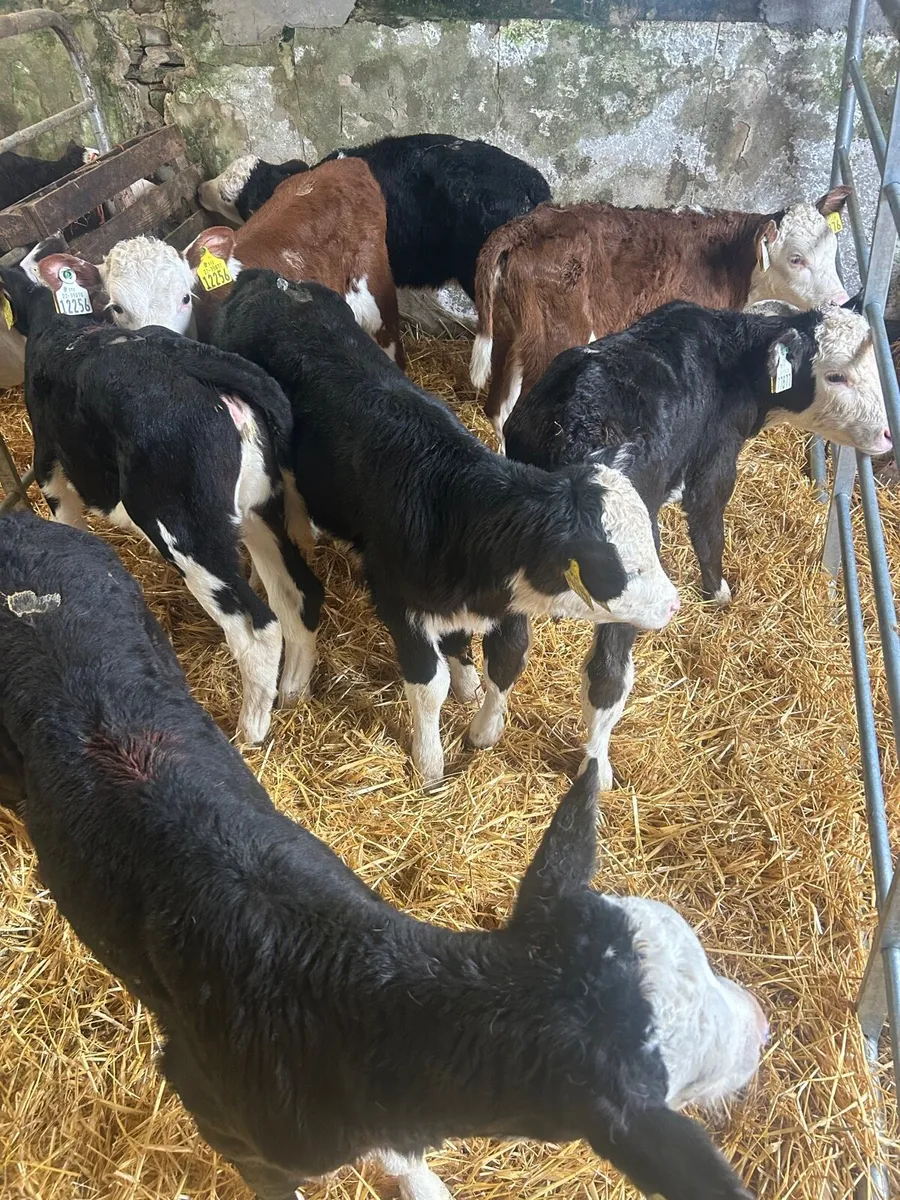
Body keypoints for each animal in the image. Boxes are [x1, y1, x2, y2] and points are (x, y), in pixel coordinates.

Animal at [470, 186, 853, 440]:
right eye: (796, 258)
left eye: (833, 250)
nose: (840, 300)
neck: (732, 264)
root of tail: (529, 223)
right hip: (557, 333)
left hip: (510, 330)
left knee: (499, 408)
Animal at [503, 298, 890, 790]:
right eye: (836, 375)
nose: (887, 435)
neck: (733, 357)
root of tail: (573, 425)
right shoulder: (715, 464)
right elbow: (709, 528)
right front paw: (719, 595)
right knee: (607, 674)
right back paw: (598, 769)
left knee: (508, 643)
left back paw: (484, 728)